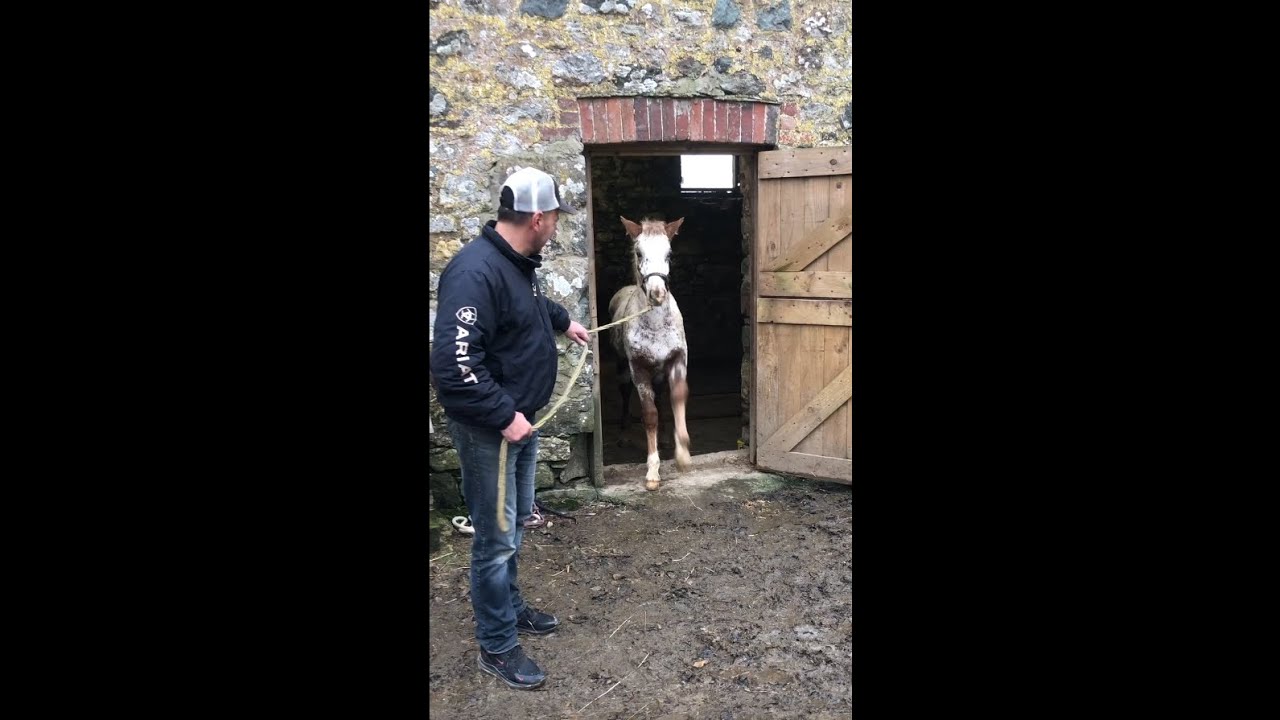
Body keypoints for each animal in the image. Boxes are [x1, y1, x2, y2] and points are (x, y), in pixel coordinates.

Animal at [608, 215, 692, 491]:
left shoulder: (677, 360)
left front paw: (682, 454)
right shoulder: (639, 367)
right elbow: (649, 414)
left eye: (669, 253)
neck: (655, 325)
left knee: (662, 397)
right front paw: (653, 472)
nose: (657, 293)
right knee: (625, 393)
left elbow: (677, 398)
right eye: (638, 252)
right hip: (624, 366)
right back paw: (623, 434)